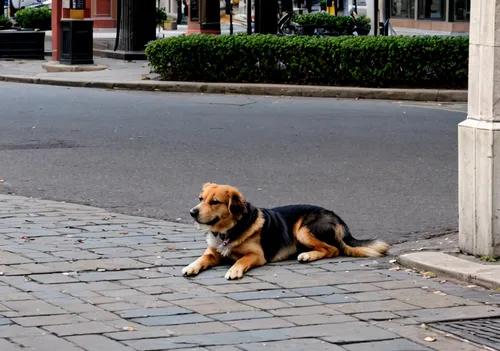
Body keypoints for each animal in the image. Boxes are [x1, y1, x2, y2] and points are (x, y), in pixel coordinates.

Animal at [183, 184, 390, 280]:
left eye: (215, 202)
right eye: (201, 199)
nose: (192, 212)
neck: (228, 231)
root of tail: (336, 217)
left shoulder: (257, 255)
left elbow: (241, 260)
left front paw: (234, 270)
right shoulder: (213, 252)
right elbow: (202, 258)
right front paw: (191, 266)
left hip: (302, 230)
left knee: (333, 249)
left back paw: (306, 255)